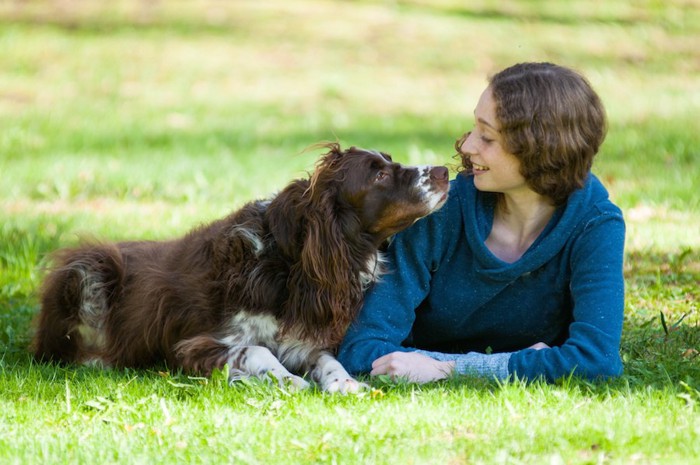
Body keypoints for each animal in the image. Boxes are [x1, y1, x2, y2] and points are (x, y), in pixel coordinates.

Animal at [31, 144, 448, 392]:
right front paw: (287, 380)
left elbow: (327, 359)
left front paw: (344, 383)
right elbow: (257, 351)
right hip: (90, 266)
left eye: (390, 162)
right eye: (378, 174)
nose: (444, 171)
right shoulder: (195, 344)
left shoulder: (304, 339)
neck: (287, 263)